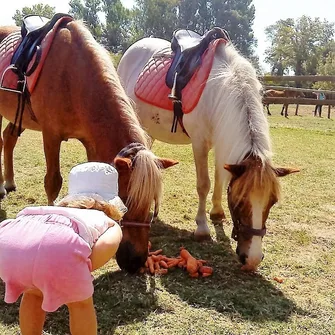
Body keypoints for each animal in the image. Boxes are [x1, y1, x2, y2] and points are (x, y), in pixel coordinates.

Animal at [0, 19, 178, 274]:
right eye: (126, 200)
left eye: (153, 205)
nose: (136, 262)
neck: (73, 76)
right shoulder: (51, 135)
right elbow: (53, 182)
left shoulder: (90, 141)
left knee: (8, 138)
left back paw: (9, 182)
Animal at [118, 36, 300, 272]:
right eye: (239, 203)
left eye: (272, 201)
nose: (252, 260)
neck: (218, 90)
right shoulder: (200, 143)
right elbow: (204, 184)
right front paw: (202, 228)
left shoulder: (221, 140)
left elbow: (220, 179)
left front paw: (217, 213)